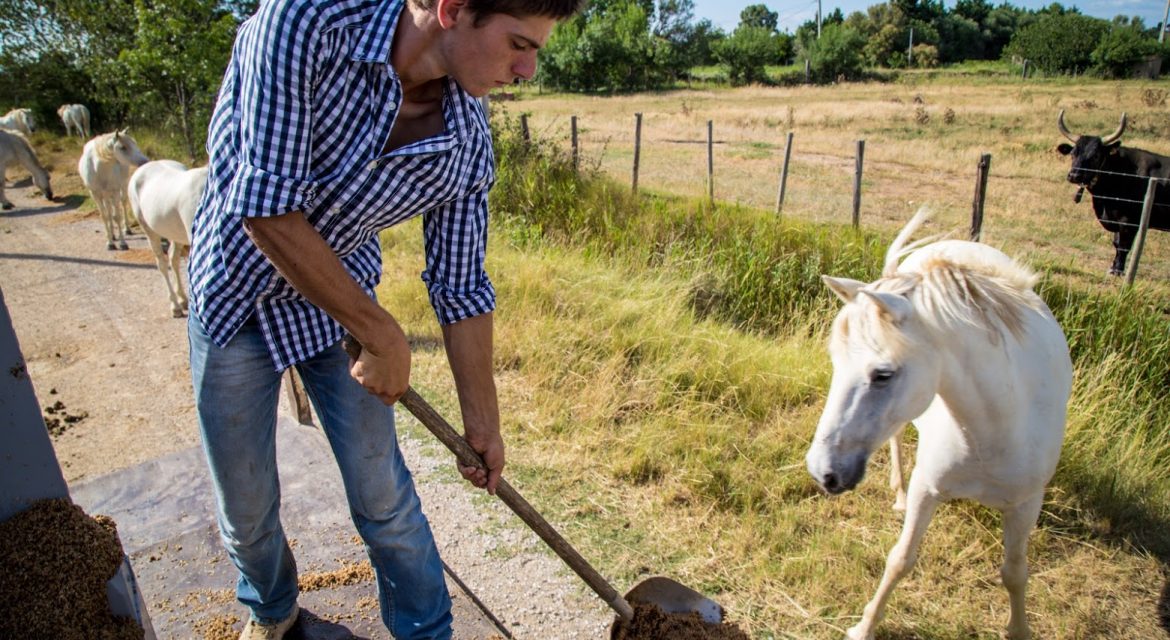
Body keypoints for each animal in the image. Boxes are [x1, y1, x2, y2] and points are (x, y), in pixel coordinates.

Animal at [126, 160, 207, 318]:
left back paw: (182, 299)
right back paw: (175, 306)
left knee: (173, 259)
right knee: (162, 264)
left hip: (177, 236)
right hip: (149, 230)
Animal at [809, 210, 1071, 640]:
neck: (993, 429)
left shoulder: (1027, 504)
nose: (821, 472)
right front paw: (864, 626)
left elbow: (1015, 573)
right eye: (835, 362)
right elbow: (901, 559)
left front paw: (1019, 629)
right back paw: (897, 492)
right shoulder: (927, 490)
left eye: (883, 374)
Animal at [1057, 111, 1165, 277]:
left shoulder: (1129, 221)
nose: (1074, 175)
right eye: (1073, 153)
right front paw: (1113, 267)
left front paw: (1118, 271)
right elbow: (1116, 243)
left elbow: (1124, 246)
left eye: (1095, 156)